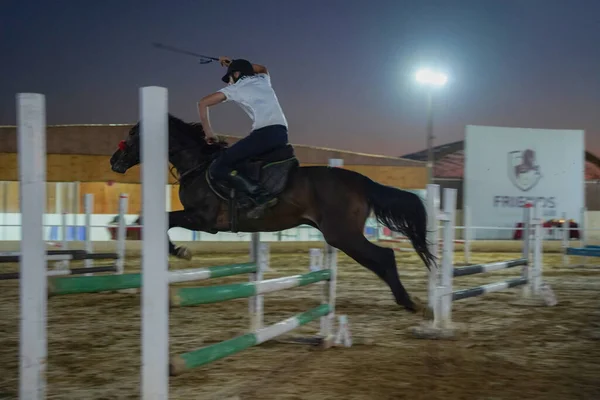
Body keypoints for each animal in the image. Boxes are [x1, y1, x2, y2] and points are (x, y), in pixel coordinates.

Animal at [109, 115, 436, 316]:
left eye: (133, 135)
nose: (114, 161)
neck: (199, 165)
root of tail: (362, 181)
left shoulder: (203, 219)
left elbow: (166, 220)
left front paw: (180, 251)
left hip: (342, 235)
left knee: (384, 257)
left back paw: (409, 302)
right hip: (343, 236)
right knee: (379, 261)